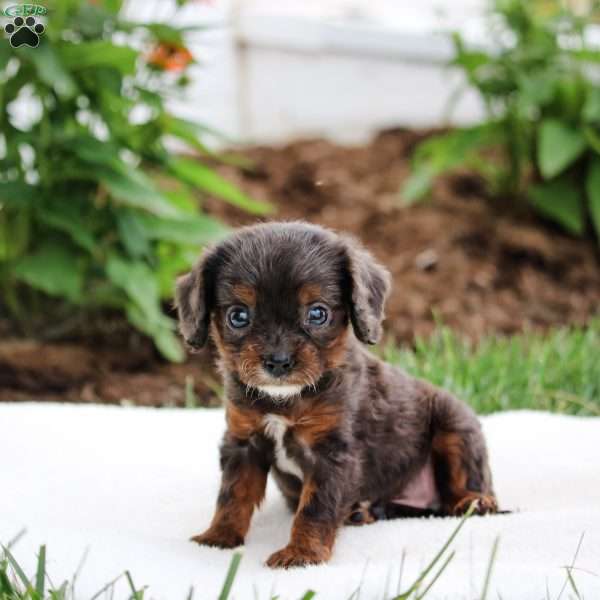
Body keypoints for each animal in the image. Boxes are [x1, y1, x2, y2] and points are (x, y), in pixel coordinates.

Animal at [175, 223, 496, 568]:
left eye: (318, 313)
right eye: (238, 316)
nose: (278, 361)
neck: (286, 400)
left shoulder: (331, 455)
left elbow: (315, 509)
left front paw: (301, 554)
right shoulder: (243, 441)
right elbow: (232, 494)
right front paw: (218, 537)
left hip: (455, 422)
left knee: (465, 478)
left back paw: (474, 502)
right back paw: (363, 512)